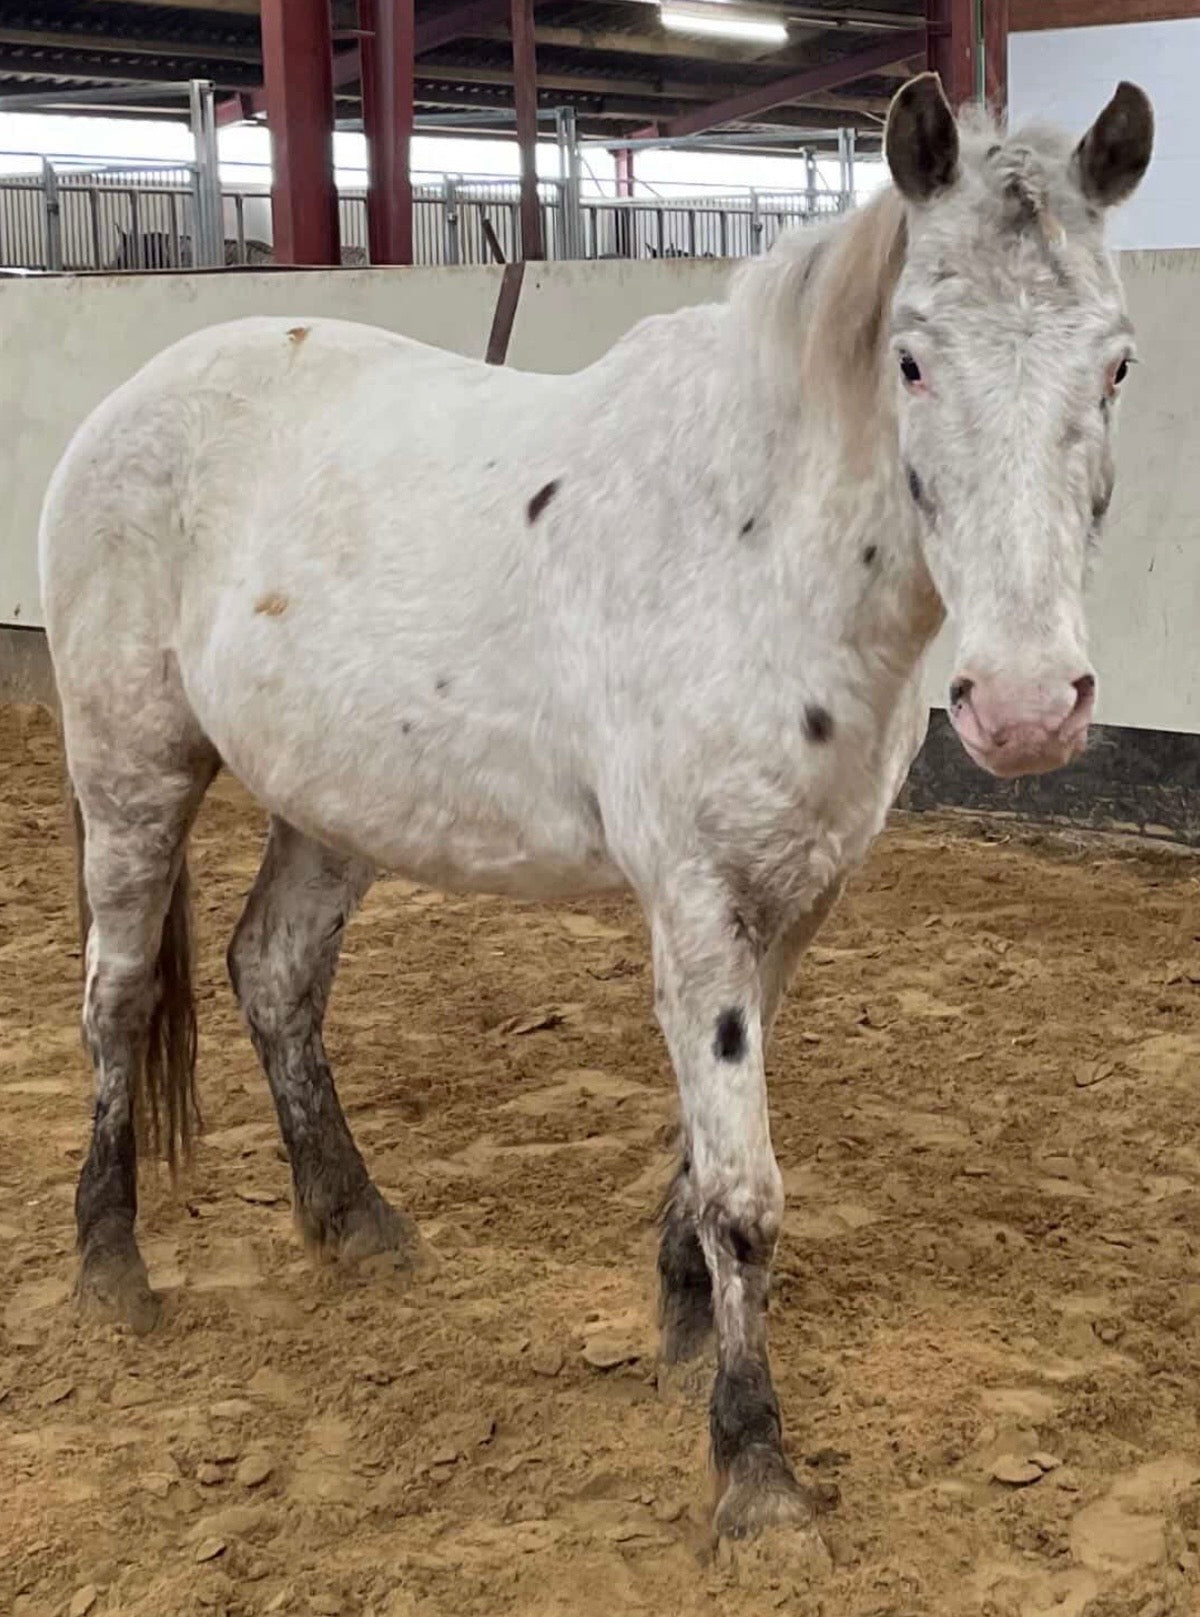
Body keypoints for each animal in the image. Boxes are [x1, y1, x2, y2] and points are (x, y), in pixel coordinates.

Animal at [39, 74, 1153, 1547]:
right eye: (913, 361)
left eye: (1117, 365)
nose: (1026, 708)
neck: (753, 545)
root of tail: (131, 401)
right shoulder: (693, 895)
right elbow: (746, 1190)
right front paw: (754, 1471)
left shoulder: (792, 899)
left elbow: (707, 1151)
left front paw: (681, 1324)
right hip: (131, 766)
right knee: (115, 998)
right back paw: (112, 1267)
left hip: (336, 805)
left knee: (271, 972)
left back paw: (355, 1224)